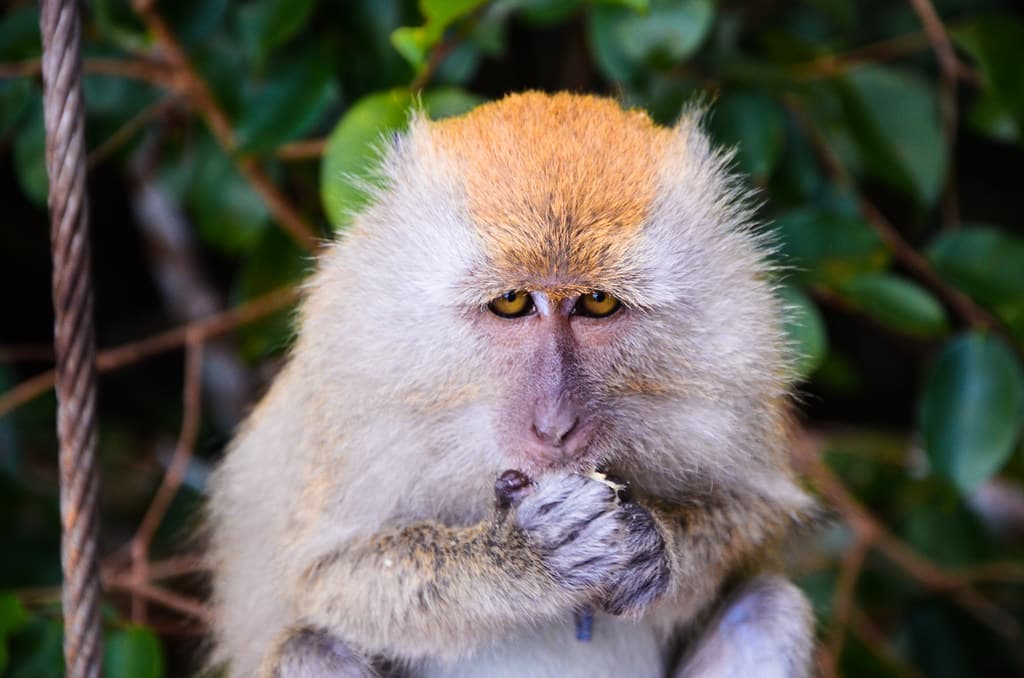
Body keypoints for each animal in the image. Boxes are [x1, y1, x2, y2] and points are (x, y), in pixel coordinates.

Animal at [206, 92, 818, 677]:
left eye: (598, 303)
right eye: (512, 302)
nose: (555, 425)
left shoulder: (737, 369)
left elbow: (750, 516)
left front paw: (652, 544)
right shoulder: (352, 383)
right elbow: (326, 580)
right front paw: (524, 555)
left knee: (767, 609)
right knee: (310, 648)